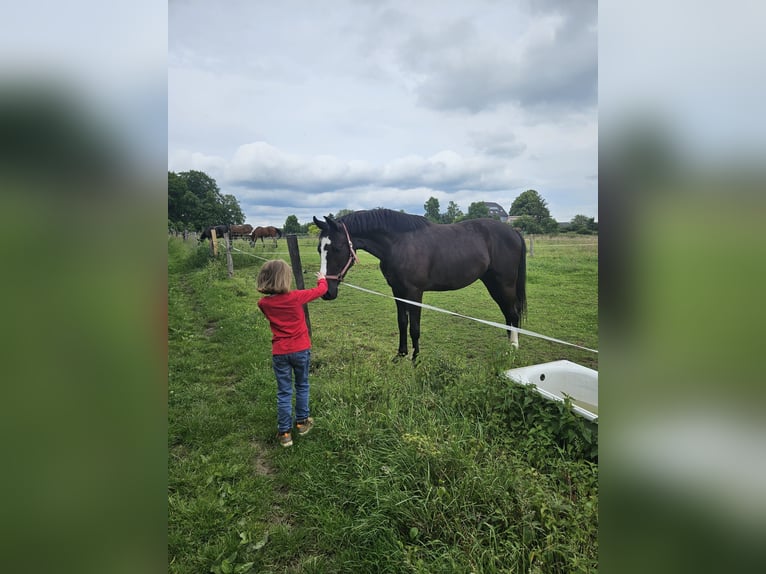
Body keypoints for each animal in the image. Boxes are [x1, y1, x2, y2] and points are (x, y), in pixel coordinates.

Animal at [313, 209, 527, 359]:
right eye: (319, 249)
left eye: (337, 248)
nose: (327, 292)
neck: (399, 243)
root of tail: (513, 232)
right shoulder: (397, 291)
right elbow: (402, 322)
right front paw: (400, 354)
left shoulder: (415, 292)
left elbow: (414, 327)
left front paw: (416, 358)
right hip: (493, 283)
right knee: (507, 314)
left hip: (504, 283)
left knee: (513, 313)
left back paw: (513, 348)